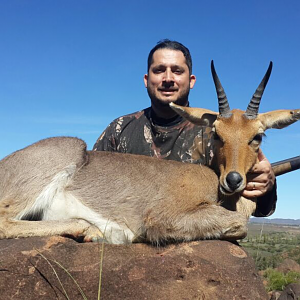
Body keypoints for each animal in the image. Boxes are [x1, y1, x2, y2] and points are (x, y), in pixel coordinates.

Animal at [0, 61, 300, 244]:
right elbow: (239, 225)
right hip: (64, 154)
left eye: (257, 136)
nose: (234, 180)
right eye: (216, 133)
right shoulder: (162, 217)